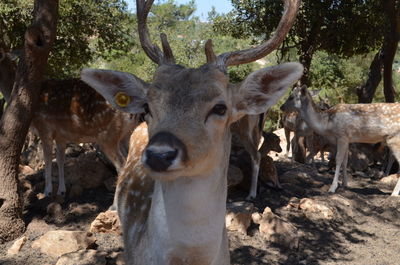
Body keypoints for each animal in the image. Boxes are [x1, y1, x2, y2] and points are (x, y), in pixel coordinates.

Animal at [0, 48, 141, 197]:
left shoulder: (44, 127)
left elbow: (48, 158)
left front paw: (47, 191)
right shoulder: (61, 135)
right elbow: (60, 159)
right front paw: (61, 190)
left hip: (108, 135)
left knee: (122, 165)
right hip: (127, 134)